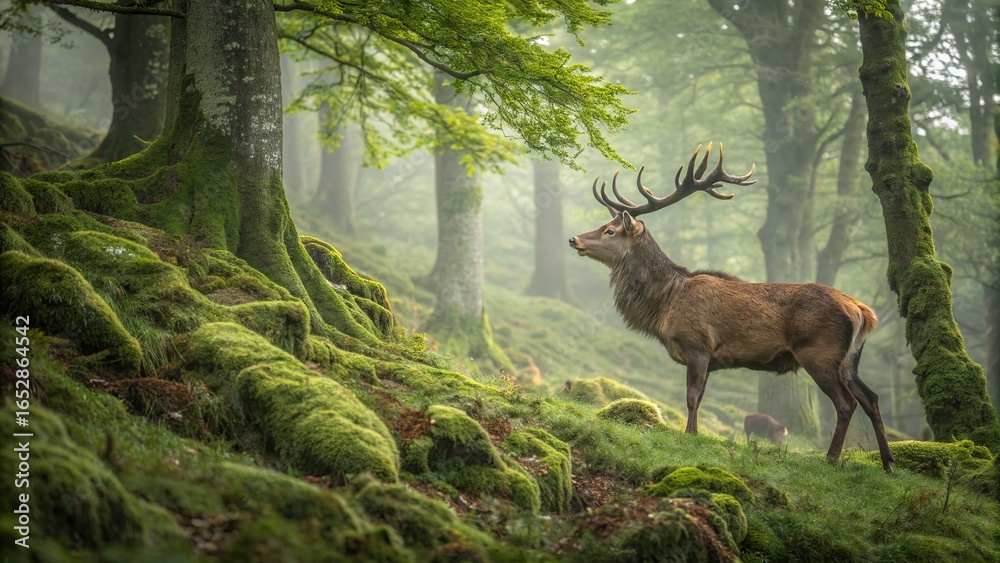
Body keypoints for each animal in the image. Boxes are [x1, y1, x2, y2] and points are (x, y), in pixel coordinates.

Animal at [568, 143, 895, 473]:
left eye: (610, 230)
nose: (573, 238)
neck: (665, 304)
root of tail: (863, 312)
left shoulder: (697, 345)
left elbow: (691, 396)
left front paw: (688, 436)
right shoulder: (710, 358)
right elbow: (700, 397)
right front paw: (695, 434)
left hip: (820, 353)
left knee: (846, 403)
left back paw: (832, 458)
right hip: (849, 360)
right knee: (872, 398)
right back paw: (888, 463)